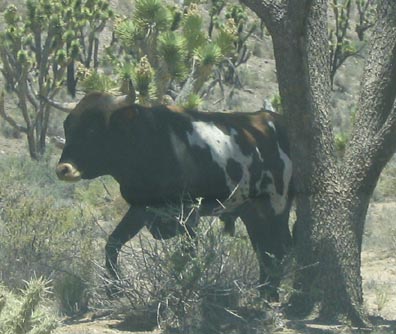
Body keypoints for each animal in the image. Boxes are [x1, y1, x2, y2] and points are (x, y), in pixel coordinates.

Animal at [51, 91, 294, 300]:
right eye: (67, 127)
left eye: (93, 129)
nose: (63, 169)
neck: (148, 140)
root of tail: (277, 120)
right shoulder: (140, 209)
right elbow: (113, 243)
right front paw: (114, 288)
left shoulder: (188, 213)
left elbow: (189, 252)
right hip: (252, 211)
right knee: (264, 248)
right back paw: (264, 291)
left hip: (278, 205)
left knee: (279, 247)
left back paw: (270, 294)